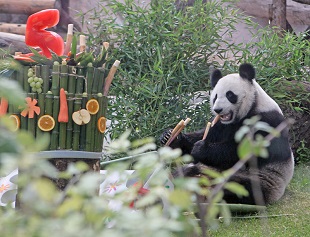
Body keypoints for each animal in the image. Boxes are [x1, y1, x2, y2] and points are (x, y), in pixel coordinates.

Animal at [161, 63, 294, 206]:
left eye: (230, 95)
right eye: (215, 96)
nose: (218, 109)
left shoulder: (267, 121)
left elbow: (247, 152)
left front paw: (201, 149)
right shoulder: (220, 125)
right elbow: (201, 136)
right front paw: (170, 137)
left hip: (263, 179)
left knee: (242, 188)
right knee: (180, 174)